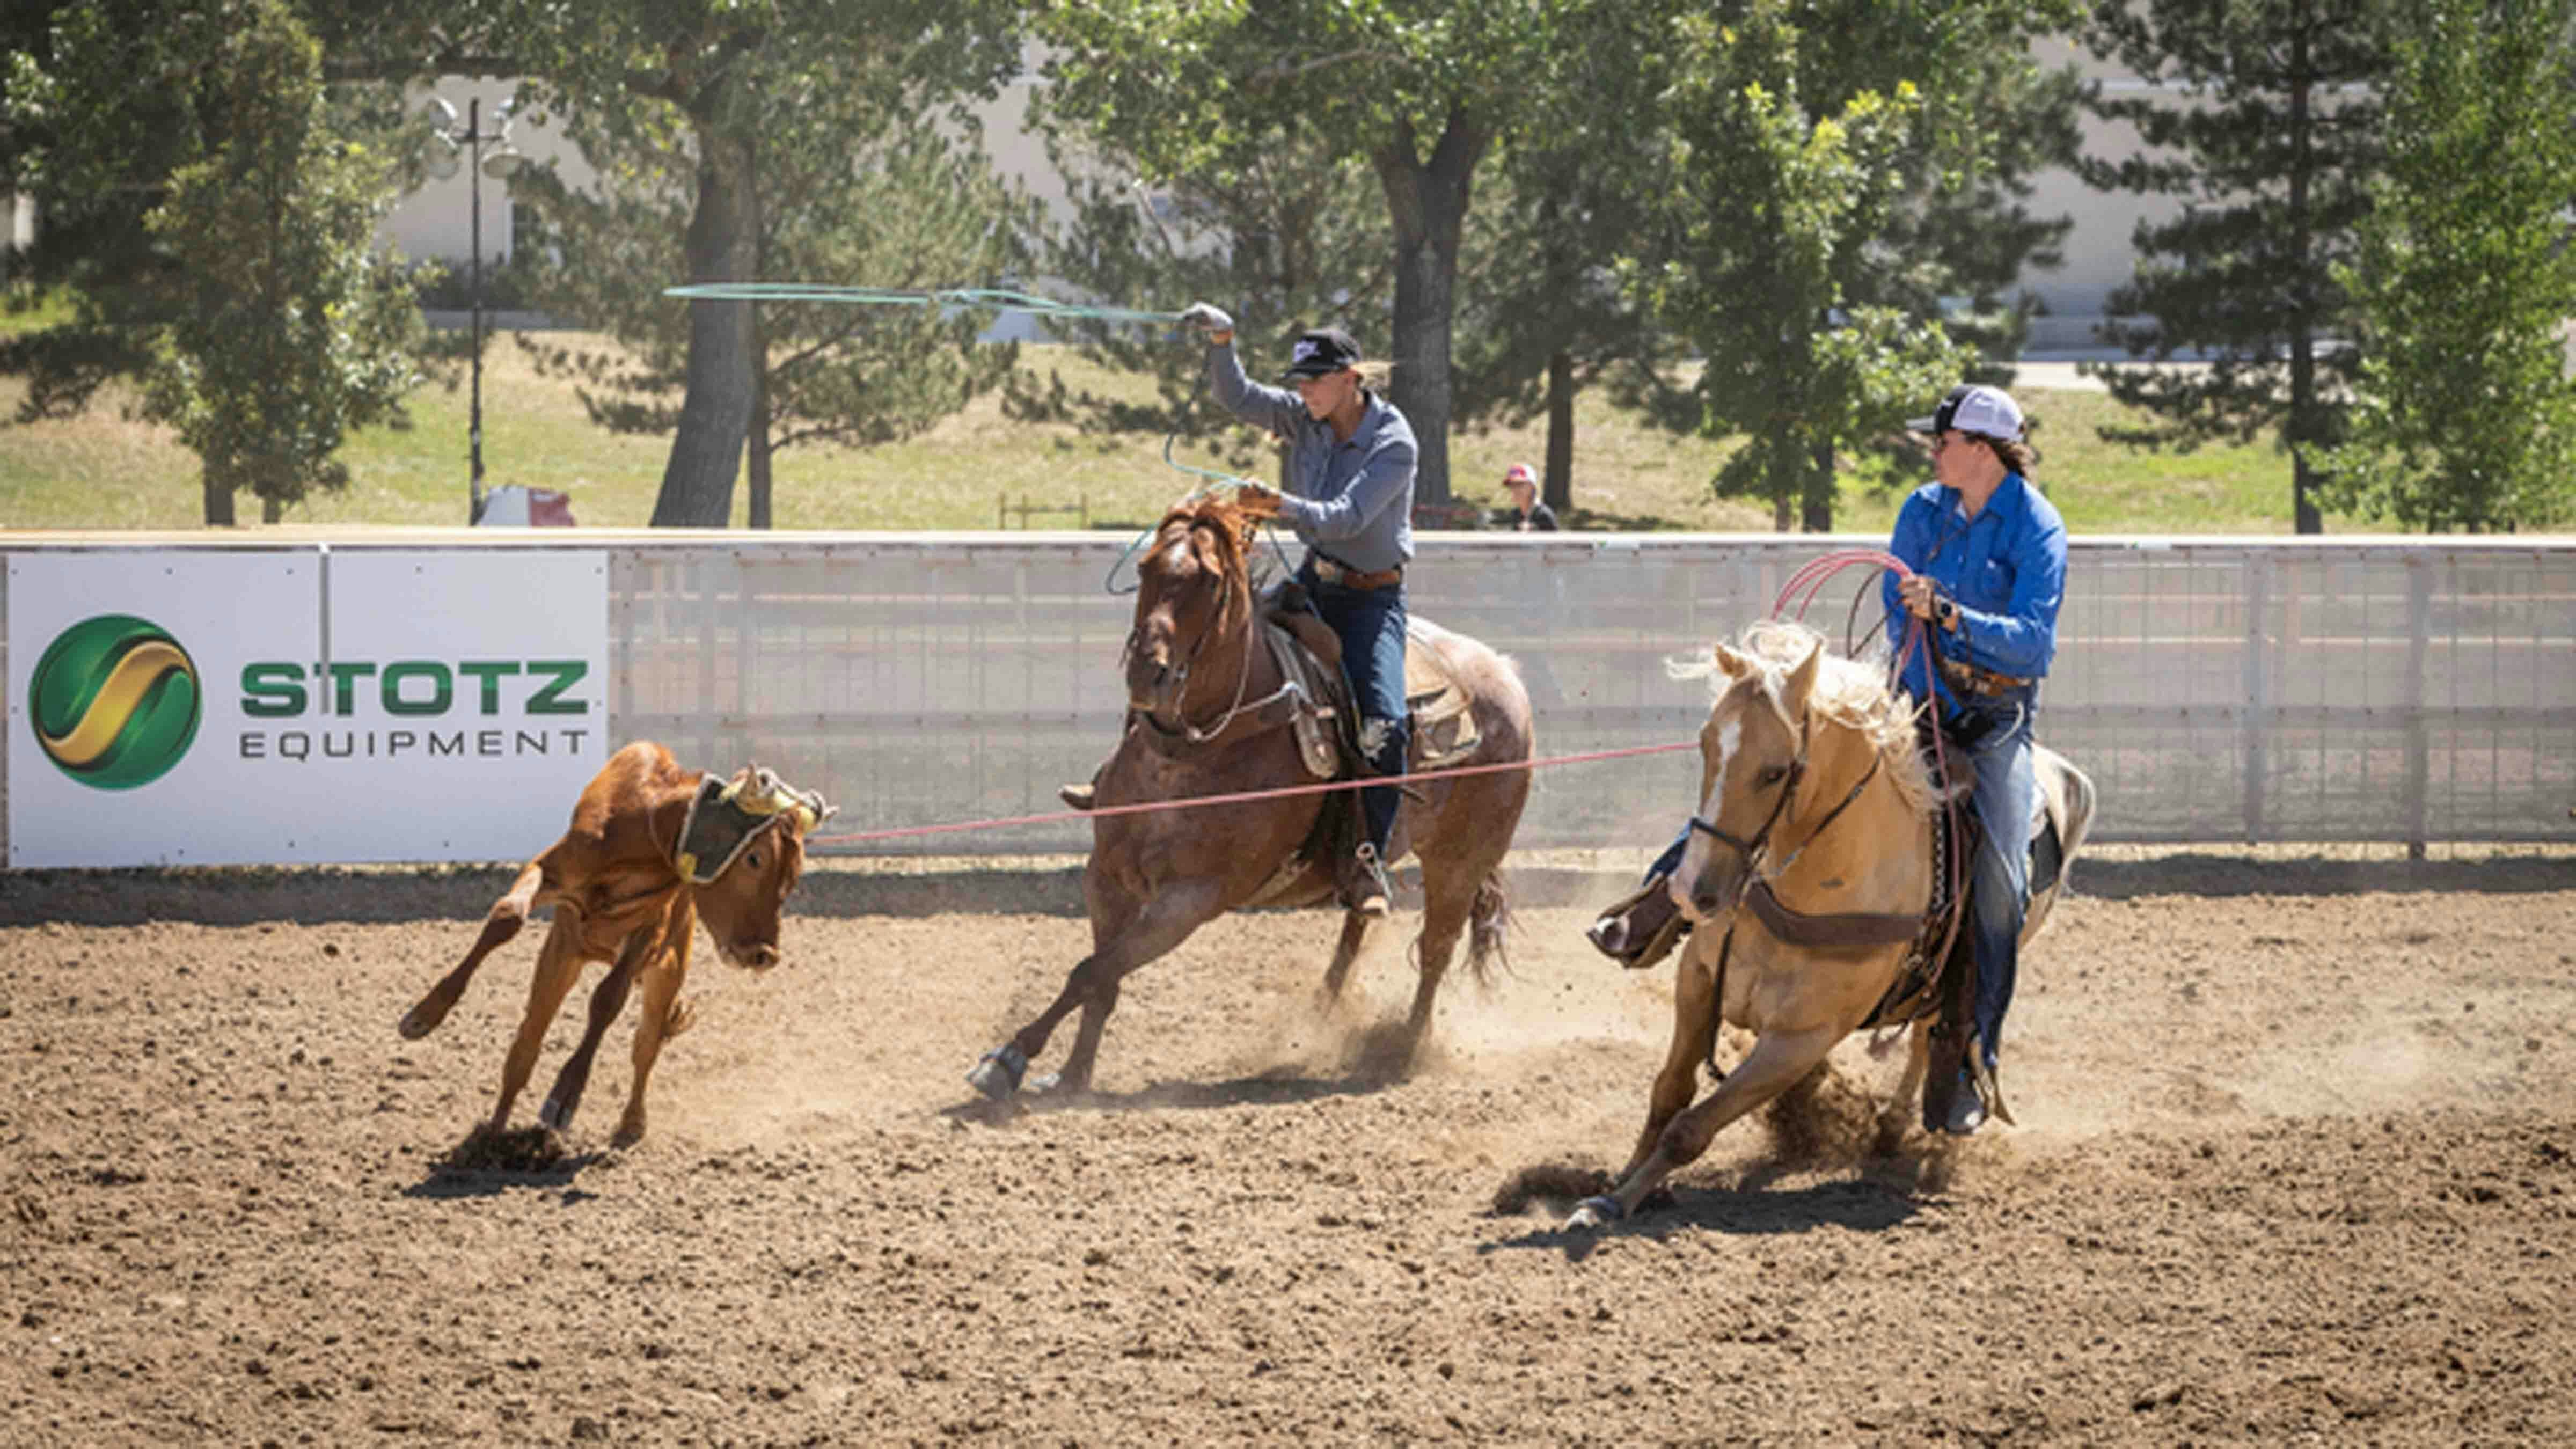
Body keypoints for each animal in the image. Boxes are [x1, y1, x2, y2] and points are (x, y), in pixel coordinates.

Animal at [397, 737, 835, 1145]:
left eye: (795, 873)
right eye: (755, 859)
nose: (764, 955)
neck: (644, 826)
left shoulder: (652, 930)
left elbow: (608, 998)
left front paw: (564, 1097)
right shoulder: (551, 867)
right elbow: (507, 918)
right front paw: (425, 1013)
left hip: (667, 973)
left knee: (645, 1047)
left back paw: (631, 1122)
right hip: (558, 959)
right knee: (528, 1041)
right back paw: (494, 1130)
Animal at [963, 495, 1525, 1093]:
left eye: (1209, 581)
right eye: (1145, 566)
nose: (1146, 672)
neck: (1193, 753)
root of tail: (1504, 673)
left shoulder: (1193, 899)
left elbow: (1093, 970)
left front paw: (1009, 1059)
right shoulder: (1107, 876)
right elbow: (1101, 978)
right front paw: (1071, 1077)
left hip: (1460, 861)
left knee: (1436, 950)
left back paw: (1401, 1051)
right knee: (1356, 928)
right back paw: (1320, 1015)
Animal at [1566, 613, 2091, 1222]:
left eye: (1775, 772)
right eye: (1705, 745)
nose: (1693, 892)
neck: (1814, 886)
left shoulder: (1802, 1038)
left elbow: (1690, 1128)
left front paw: (1615, 1203)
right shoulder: (1696, 982)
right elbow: (1668, 1094)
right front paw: (1617, 1184)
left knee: (1932, 1036)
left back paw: (1911, 1117)